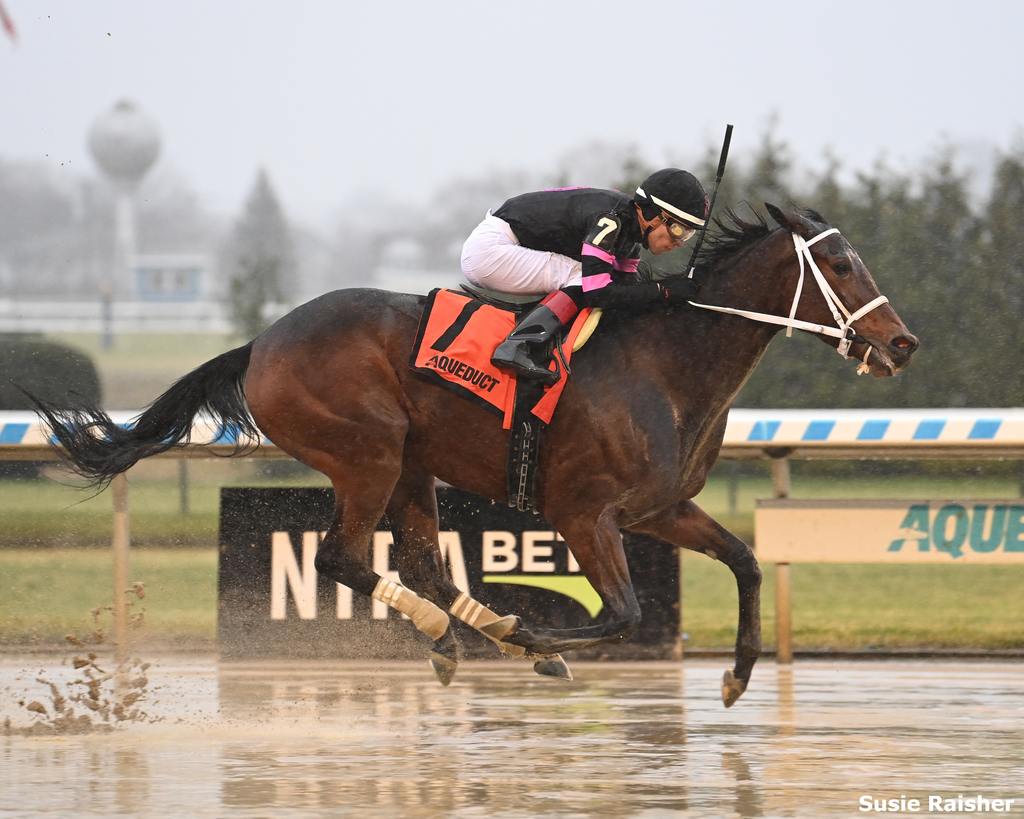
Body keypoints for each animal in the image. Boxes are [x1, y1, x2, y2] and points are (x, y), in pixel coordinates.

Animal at [37, 202, 921, 704]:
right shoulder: (585, 512)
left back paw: (466, 630)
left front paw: (738, 673)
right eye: (839, 263)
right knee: (340, 558)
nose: (902, 343)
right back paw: (467, 631)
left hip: (410, 466)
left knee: (421, 562)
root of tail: (261, 342)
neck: (666, 360)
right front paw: (536, 642)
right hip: (370, 453)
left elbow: (744, 560)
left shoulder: (659, 507)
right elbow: (622, 613)